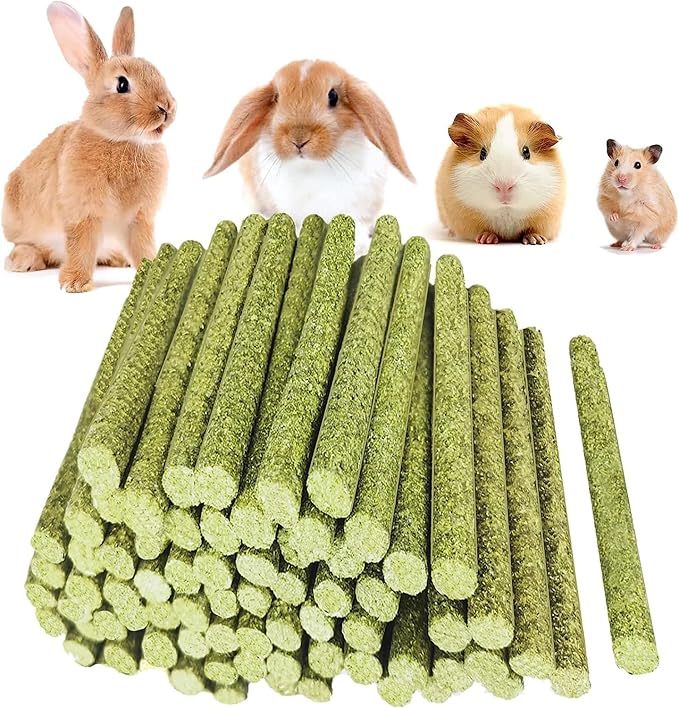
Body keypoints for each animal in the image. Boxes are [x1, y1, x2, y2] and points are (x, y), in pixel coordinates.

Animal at [2, 2, 176, 292]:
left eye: (156, 72)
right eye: (122, 84)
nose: (166, 108)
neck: (122, 141)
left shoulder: (139, 218)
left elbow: (142, 246)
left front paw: (153, 270)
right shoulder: (83, 212)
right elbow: (81, 245)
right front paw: (74, 284)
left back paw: (118, 259)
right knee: (25, 243)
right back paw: (23, 261)